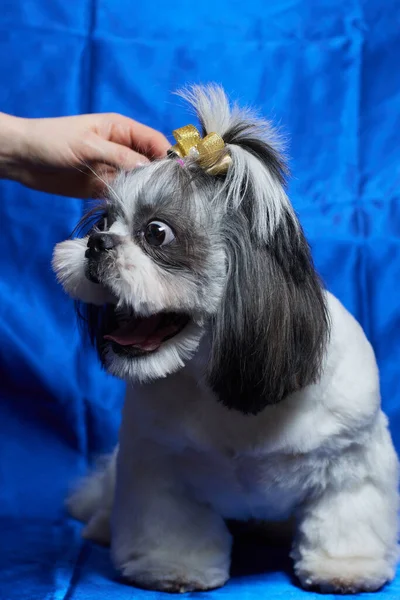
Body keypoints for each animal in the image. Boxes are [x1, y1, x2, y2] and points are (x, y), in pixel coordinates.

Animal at [54, 85, 400, 596]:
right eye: (101, 223)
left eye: (157, 232)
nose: (97, 244)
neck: (221, 379)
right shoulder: (155, 463)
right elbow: (168, 527)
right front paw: (171, 569)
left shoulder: (352, 460)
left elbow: (346, 516)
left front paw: (346, 568)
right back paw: (99, 524)